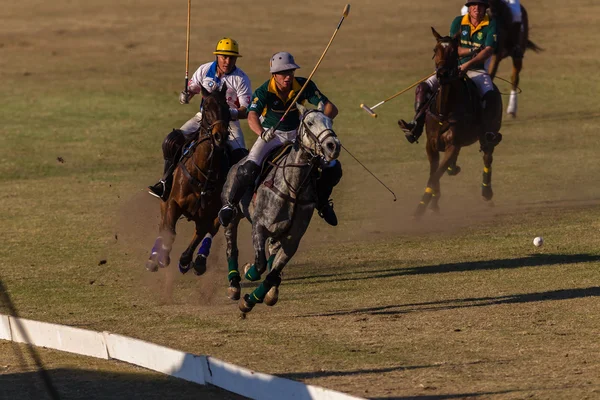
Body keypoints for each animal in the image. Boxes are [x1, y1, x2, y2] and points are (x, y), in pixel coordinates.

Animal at [145, 85, 230, 276]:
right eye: (206, 107)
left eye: (227, 107)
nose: (219, 136)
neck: (202, 172)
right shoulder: (173, 202)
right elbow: (170, 231)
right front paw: (162, 257)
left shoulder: (208, 215)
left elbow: (199, 236)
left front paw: (185, 261)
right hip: (165, 200)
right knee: (163, 226)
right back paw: (153, 258)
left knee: (211, 231)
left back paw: (199, 261)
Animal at [221, 104, 342, 316]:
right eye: (310, 122)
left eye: (330, 122)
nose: (333, 146)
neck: (293, 187)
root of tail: (239, 160)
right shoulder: (259, 226)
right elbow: (260, 264)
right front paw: (249, 271)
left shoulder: (292, 239)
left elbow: (273, 273)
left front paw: (251, 301)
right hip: (233, 214)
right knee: (231, 246)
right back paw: (234, 284)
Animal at [412, 27, 502, 219]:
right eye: (435, 49)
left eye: (453, 51)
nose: (442, 74)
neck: (444, 110)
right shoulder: (431, 145)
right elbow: (433, 173)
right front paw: (434, 202)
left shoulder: (453, 144)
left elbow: (435, 176)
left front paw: (420, 209)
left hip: (489, 132)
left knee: (488, 156)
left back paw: (486, 192)